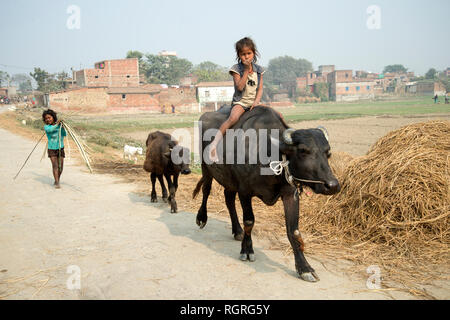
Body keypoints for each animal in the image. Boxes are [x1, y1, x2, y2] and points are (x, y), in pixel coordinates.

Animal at [192, 105, 340, 282]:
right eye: (303, 150)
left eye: (328, 152)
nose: (332, 185)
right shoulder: (245, 191)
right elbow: (249, 221)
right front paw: (247, 251)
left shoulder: (290, 194)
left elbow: (294, 231)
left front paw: (305, 268)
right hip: (206, 168)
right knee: (206, 190)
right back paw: (202, 218)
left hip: (230, 181)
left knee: (228, 199)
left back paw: (237, 231)